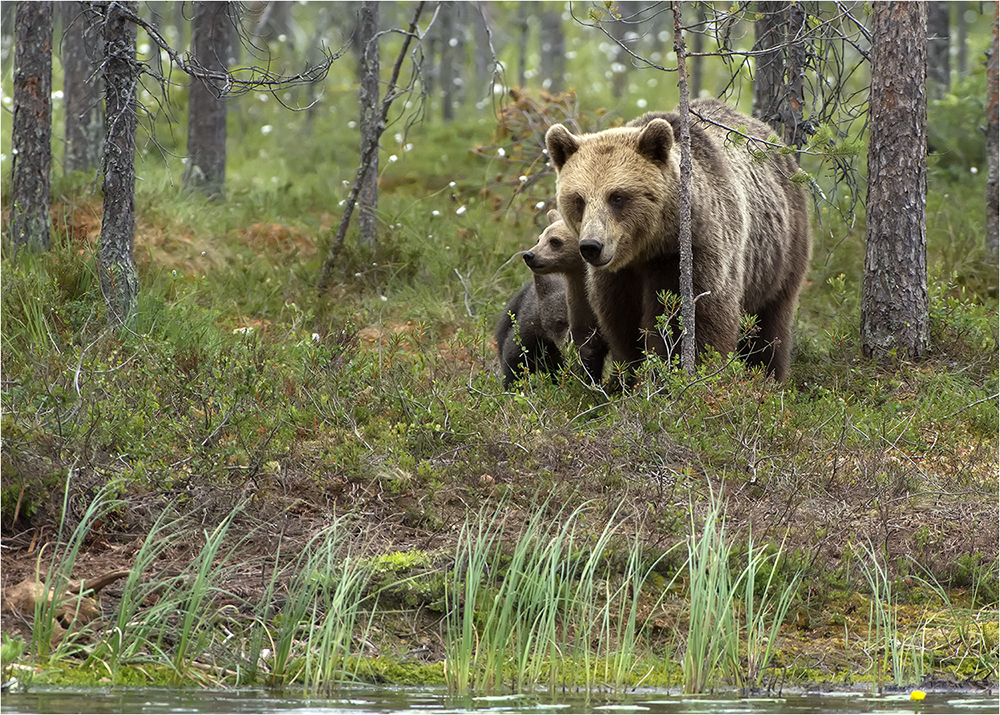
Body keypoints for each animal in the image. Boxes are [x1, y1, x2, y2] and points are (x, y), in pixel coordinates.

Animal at [548, 99, 812, 386]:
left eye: (617, 197)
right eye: (578, 199)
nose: (592, 246)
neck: (649, 247)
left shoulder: (693, 253)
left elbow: (694, 319)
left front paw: (676, 375)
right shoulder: (618, 276)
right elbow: (622, 323)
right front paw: (631, 376)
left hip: (781, 253)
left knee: (770, 325)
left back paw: (767, 376)